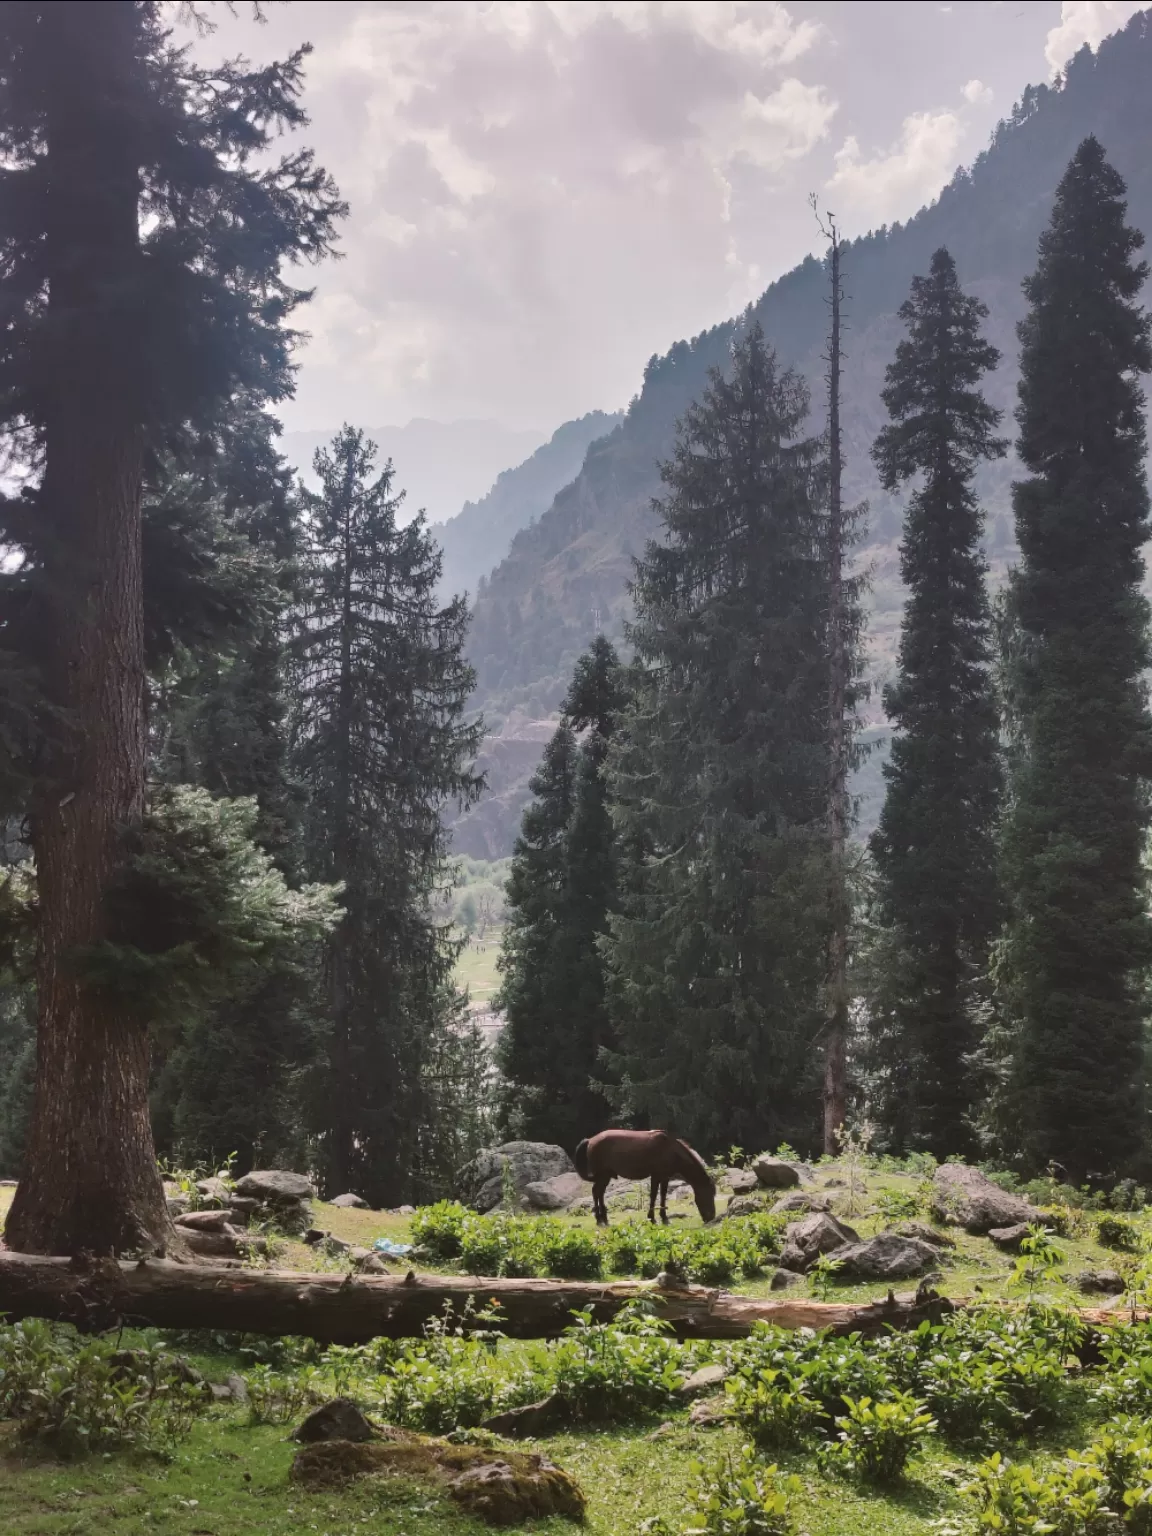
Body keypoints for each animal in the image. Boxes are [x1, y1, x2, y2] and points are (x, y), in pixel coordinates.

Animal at [574, 1130, 718, 1222]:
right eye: (709, 1194)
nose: (711, 1216)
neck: (670, 1150)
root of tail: (590, 1140)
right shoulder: (655, 1176)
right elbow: (653, 1195)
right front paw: (651, 1217)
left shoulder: (665, 1177)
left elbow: (662, 1196)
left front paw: (663, 1216)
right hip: (602, 1175)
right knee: (596, 1191)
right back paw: (599, 1218)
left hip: (606, 1176)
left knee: (599, 1192)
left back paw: (603, 1216)